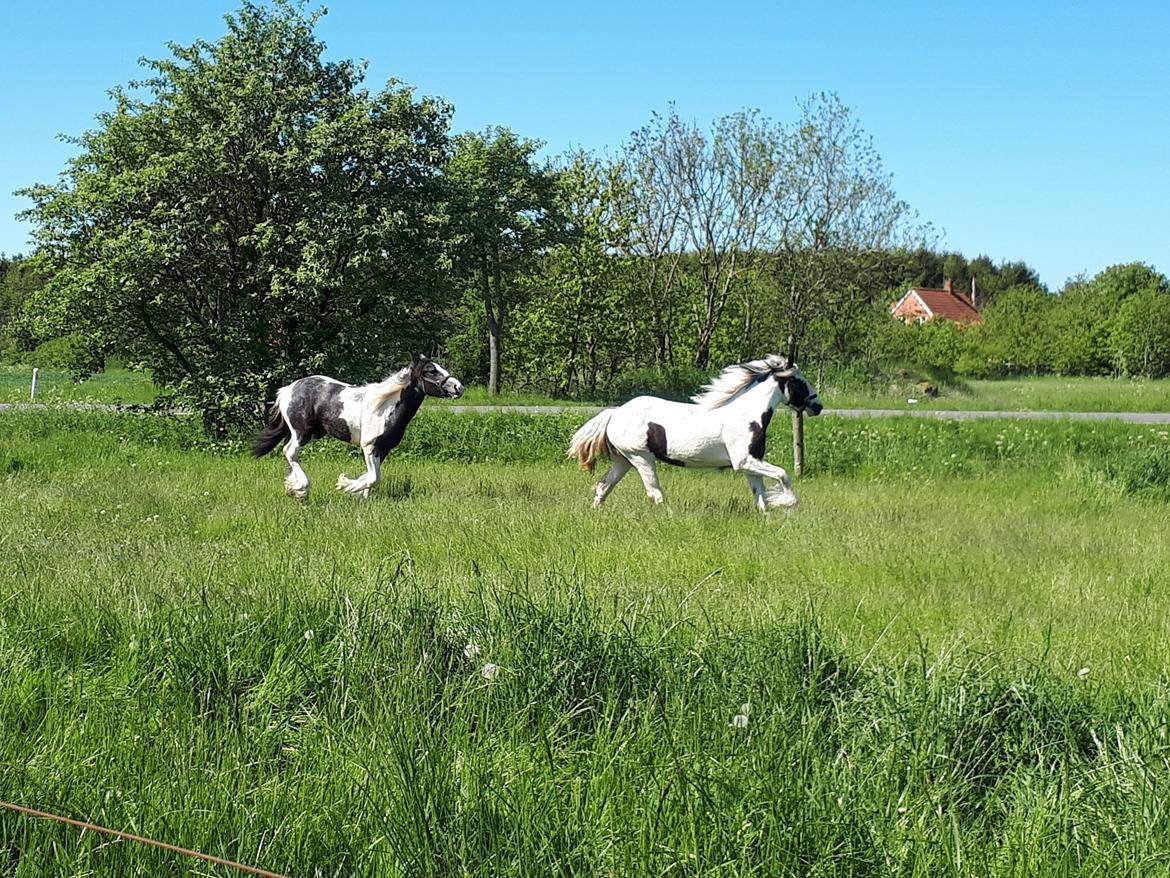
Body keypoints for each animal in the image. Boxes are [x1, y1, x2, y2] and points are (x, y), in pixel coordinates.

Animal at [250, 353, 460, 498]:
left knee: (290, 455)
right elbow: (373, 478)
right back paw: (302, 489)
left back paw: (292, 488)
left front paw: (361, 496)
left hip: (309, 432)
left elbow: (370, 476)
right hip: (302, 432)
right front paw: (344, 485)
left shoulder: (383, 449)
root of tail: (286, 390)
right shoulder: (369, 446)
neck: (384, 407)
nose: (458, 387)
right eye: (431, 371)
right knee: (289, 451)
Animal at [566, 353, 823, 512]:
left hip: (624, 460)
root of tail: (615, 413)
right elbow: (783, 474)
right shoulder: (743, 462)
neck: (746, 416)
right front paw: (788, 502)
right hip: (641, 458)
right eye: (800, 381)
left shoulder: (752, 463)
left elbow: (760, 497)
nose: (818, 406)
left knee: (603, 486)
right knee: (655, 494)